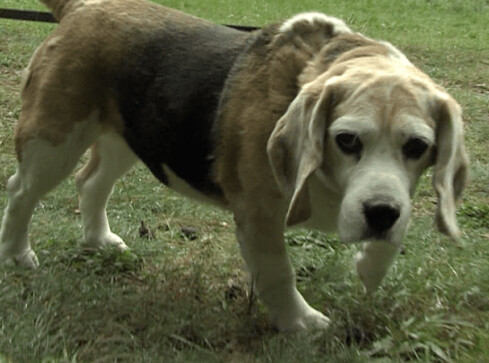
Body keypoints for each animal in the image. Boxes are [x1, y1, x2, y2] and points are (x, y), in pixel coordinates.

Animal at [0, 0, 468, 332]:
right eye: (347, 140)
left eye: (418, 146)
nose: (380, 214)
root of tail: (84, 7)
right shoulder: (259, 217)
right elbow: (279, 274)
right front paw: (302, 324)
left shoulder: (387, 199)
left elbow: (391, 234)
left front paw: (369, 270)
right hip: (54, 142)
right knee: (21, 191)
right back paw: (18, 254)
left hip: (126, 140)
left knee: (90, 183)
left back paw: (98, 240)